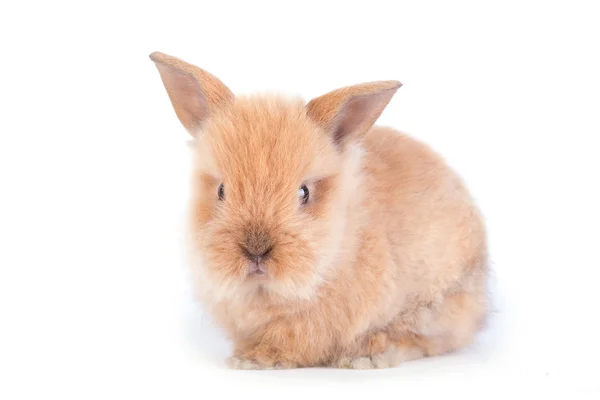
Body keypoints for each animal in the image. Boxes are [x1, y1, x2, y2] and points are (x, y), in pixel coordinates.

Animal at [149, 51, 488, 370]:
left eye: (304, 193)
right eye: (221, 191)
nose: (256, 250)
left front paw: (255, 360)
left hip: (435, 305)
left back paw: (368, 356)